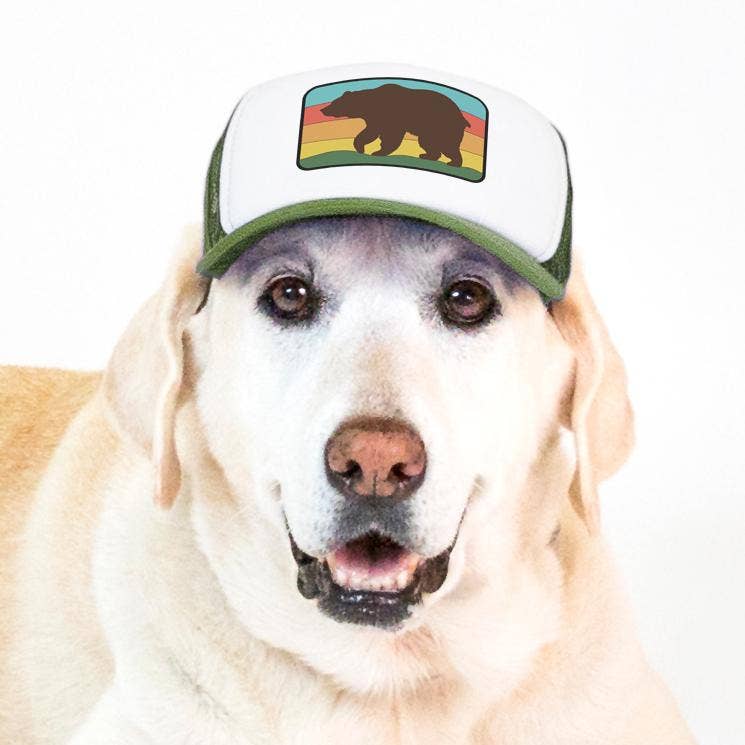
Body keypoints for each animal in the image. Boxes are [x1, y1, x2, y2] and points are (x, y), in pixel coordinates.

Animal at [320, 83, 470, 168]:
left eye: (334, 103)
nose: (323, 109)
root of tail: (462, 118)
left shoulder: (391, 116)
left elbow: (389, 135)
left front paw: (376, 151)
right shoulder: (376, 119)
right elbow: (372, 132)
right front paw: (363, 147)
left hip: (442, 126)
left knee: (448, 145)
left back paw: (454, 163)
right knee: (428, 143)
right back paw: (427, 155)